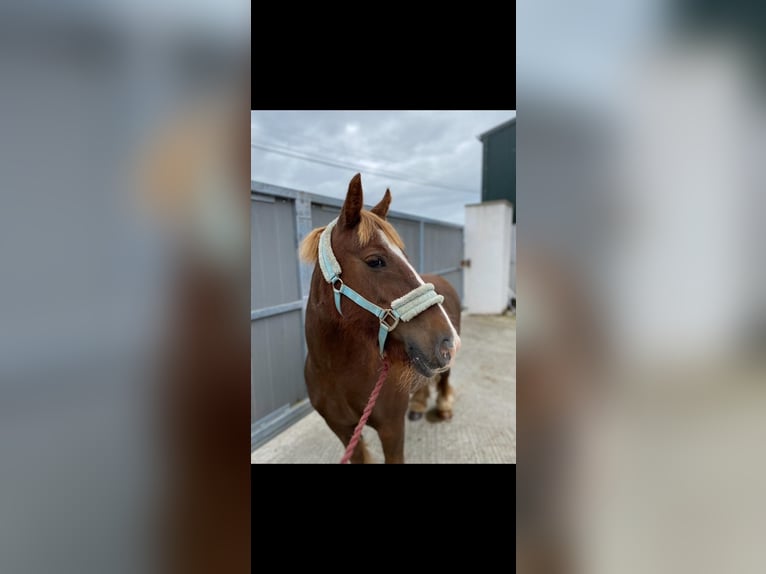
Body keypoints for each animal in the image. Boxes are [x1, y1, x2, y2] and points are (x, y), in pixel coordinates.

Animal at [300, 174, 462, 464]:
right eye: (375, 261)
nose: (448, 343)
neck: (335, 371)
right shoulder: (344, 431)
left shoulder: (391, 428)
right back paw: (418, 404)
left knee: (444, 379)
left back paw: (442, 408)